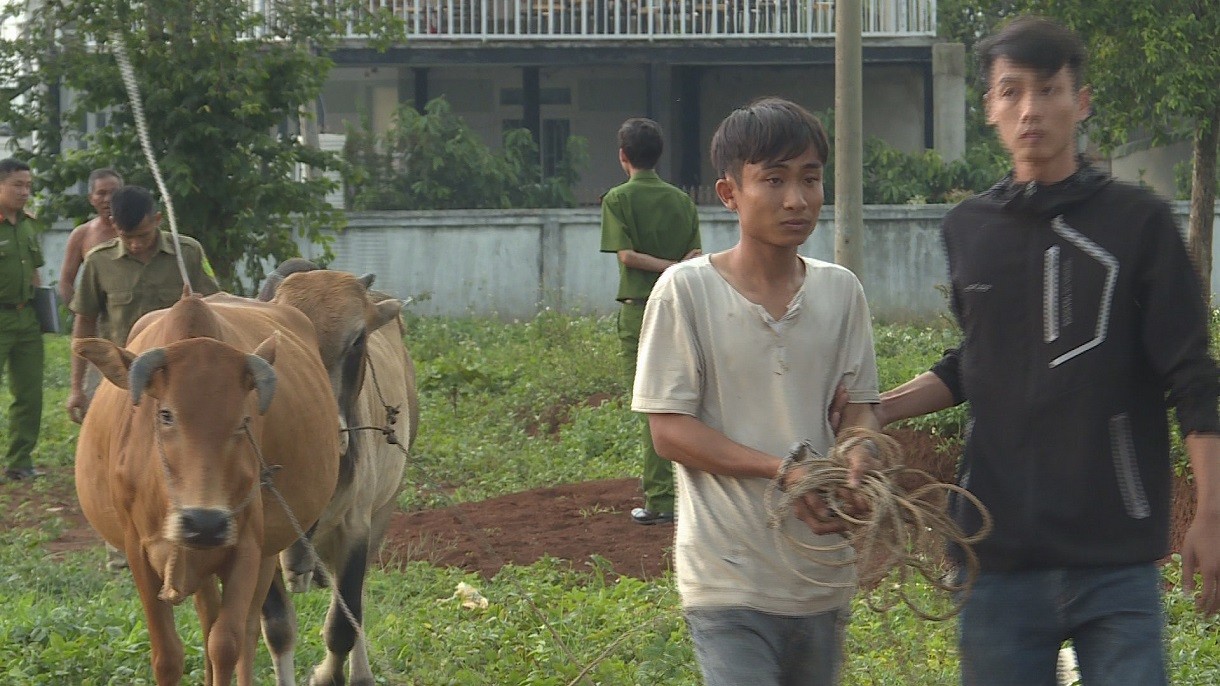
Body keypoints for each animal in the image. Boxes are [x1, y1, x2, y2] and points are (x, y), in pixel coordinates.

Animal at [73, 294, 341, 683]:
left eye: (244, 421)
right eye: (165, 415)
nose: (205, 523)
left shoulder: (247, 548)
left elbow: (226, 644)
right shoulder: (137, 551)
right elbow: (168, 655)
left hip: (264, 553)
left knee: (246, 629)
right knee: (207, 617)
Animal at [259, 261, 417, 683]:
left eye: (358, 340)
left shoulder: (356, 528)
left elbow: (342, 626)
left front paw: (327, 675)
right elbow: (278, 628)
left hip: (381, 511)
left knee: (354, 604)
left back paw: (361, 674)